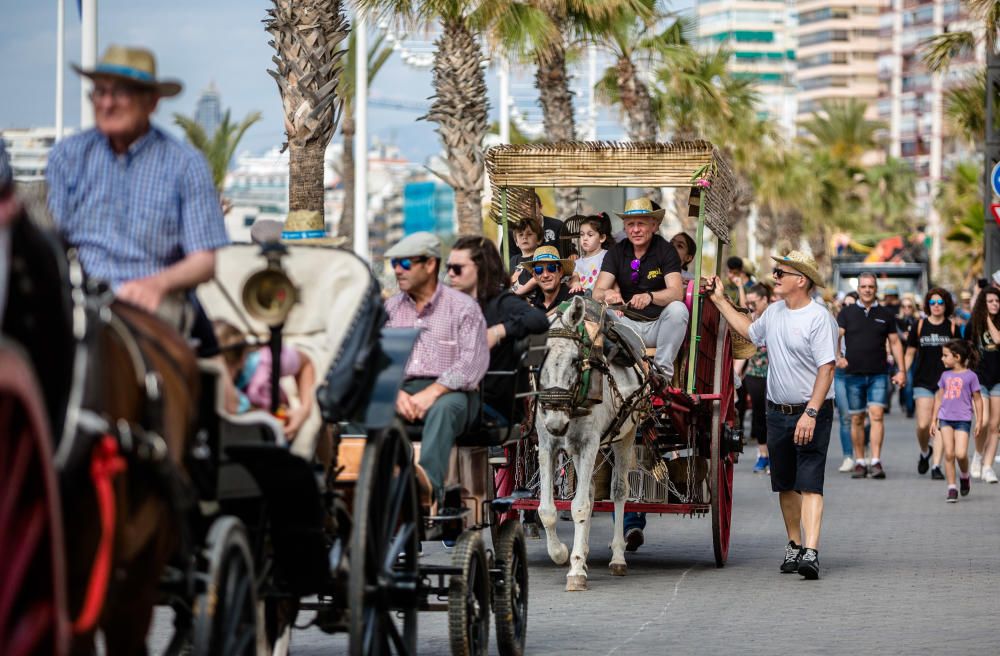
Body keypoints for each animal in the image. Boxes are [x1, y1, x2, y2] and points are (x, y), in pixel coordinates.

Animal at [536, 294, 644, 592]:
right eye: (538, 358)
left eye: (576, 360)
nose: (557, 422)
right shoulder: (548, 444)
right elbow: (547, 510)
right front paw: (562, 554)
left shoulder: (589, 443)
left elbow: (580, 507)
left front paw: (575, 572)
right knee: (593, 492)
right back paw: (582, 552)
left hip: (625, 435)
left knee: (618, 491)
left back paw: (617, 557)